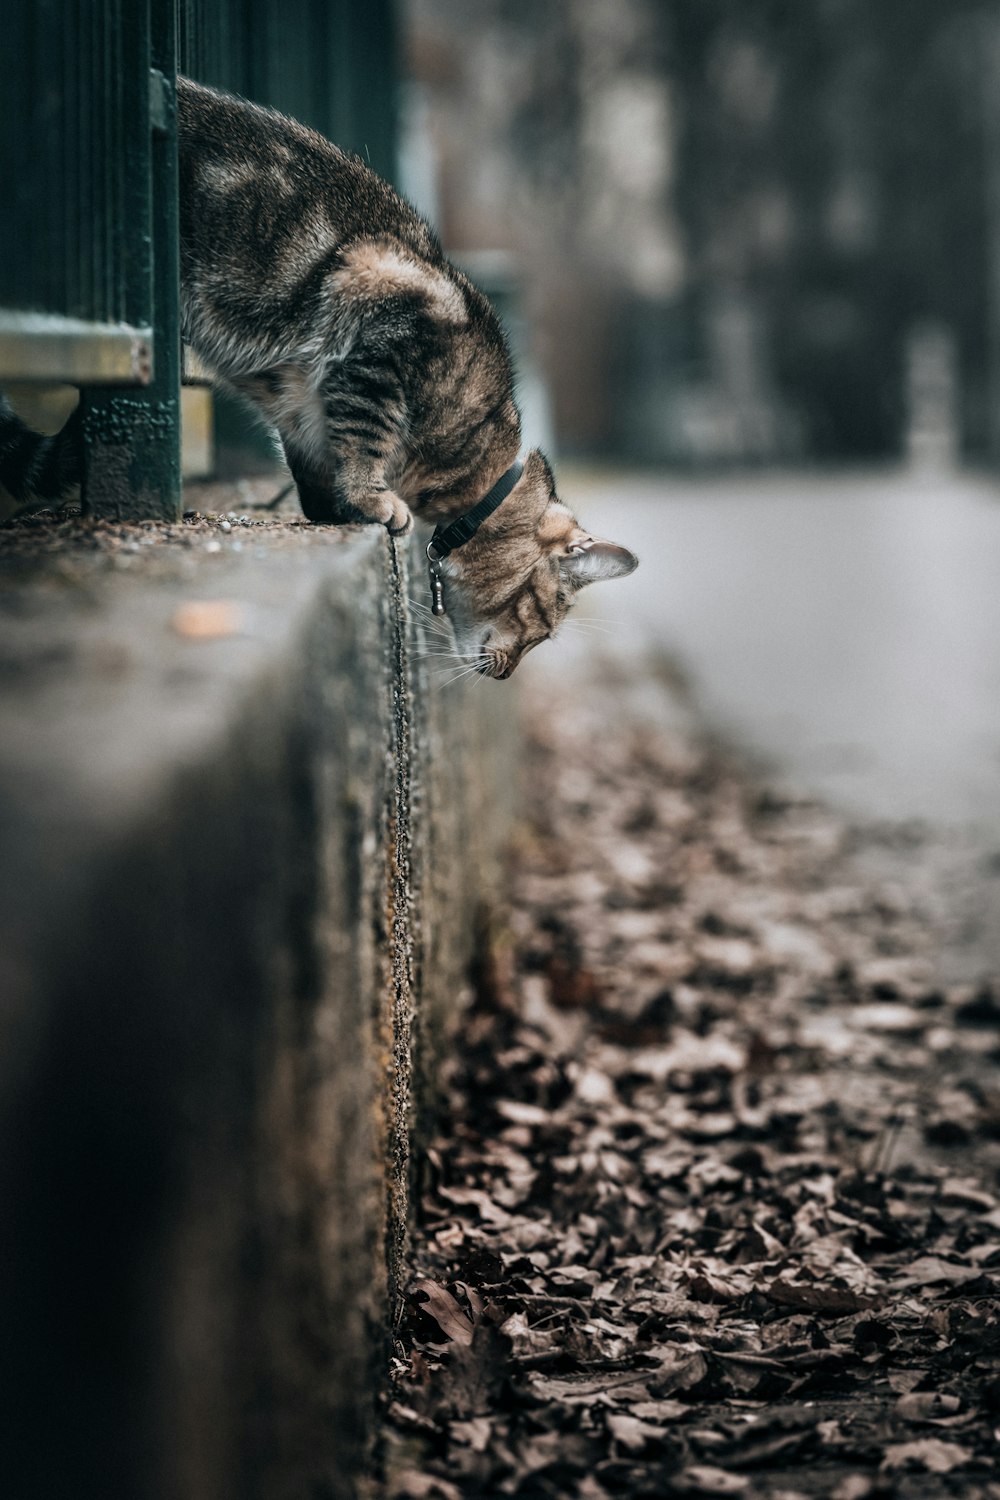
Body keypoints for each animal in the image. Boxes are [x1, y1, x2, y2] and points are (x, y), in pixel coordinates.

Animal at [1, 82, 641, 681]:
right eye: (544, 620)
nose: (509, 673)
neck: (470, 468)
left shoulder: (302, 400)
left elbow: (312, 453)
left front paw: (332, 506)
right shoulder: (379, 331)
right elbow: (365, 434)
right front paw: (371, 500)